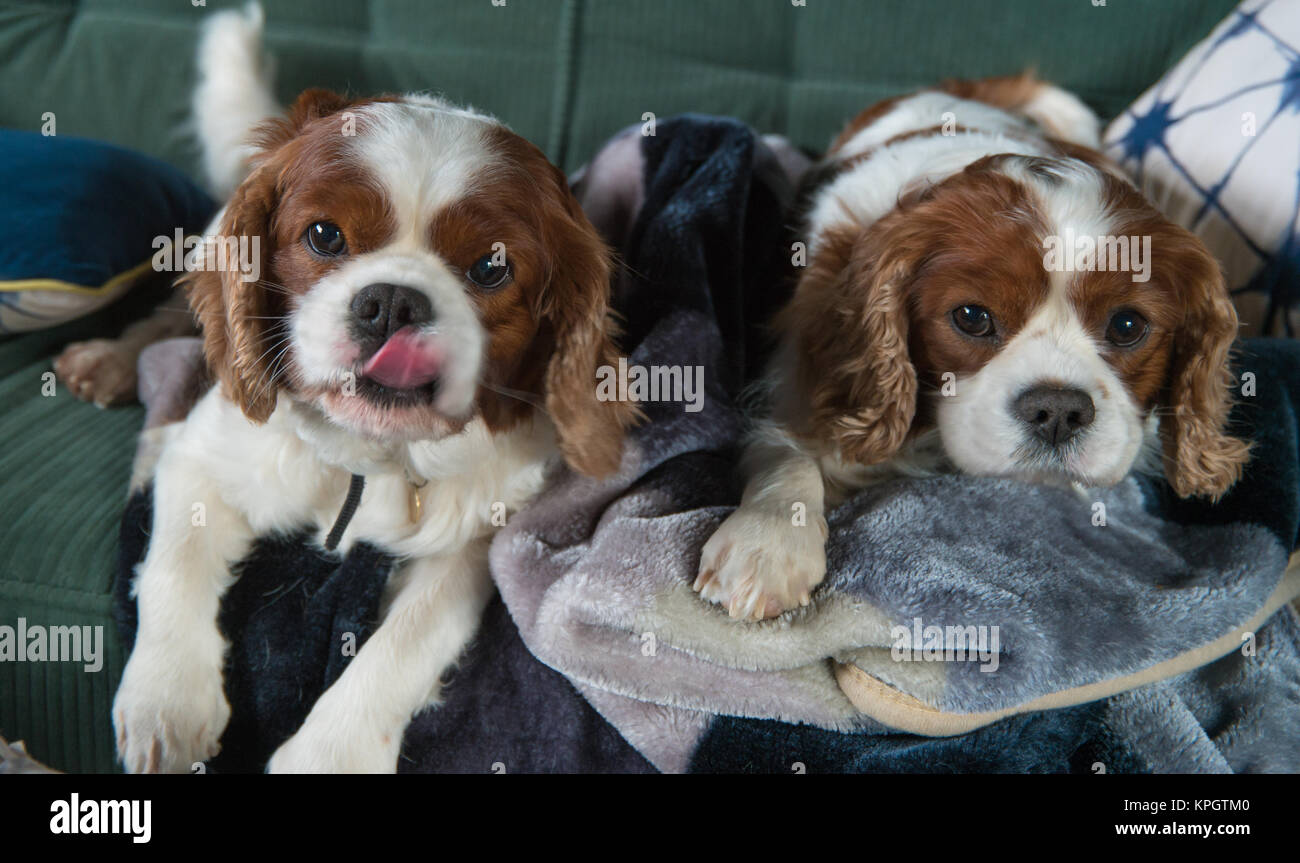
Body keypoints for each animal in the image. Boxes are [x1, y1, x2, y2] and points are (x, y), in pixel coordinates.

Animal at [114, 6, 631, 769]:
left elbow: (405, 645)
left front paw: (328, 754)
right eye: (325, 236)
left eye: (491, 268)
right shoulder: (206, 454)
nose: (391, 302)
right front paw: (167, 702)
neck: (365, 454)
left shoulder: (467, 545)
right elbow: (173, 562)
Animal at [696, 77, 1253, 621]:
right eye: (971, 317)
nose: (1058, 410)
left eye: (1127, 325)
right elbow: (785, 455)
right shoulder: (801, 382)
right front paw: (766, 543)